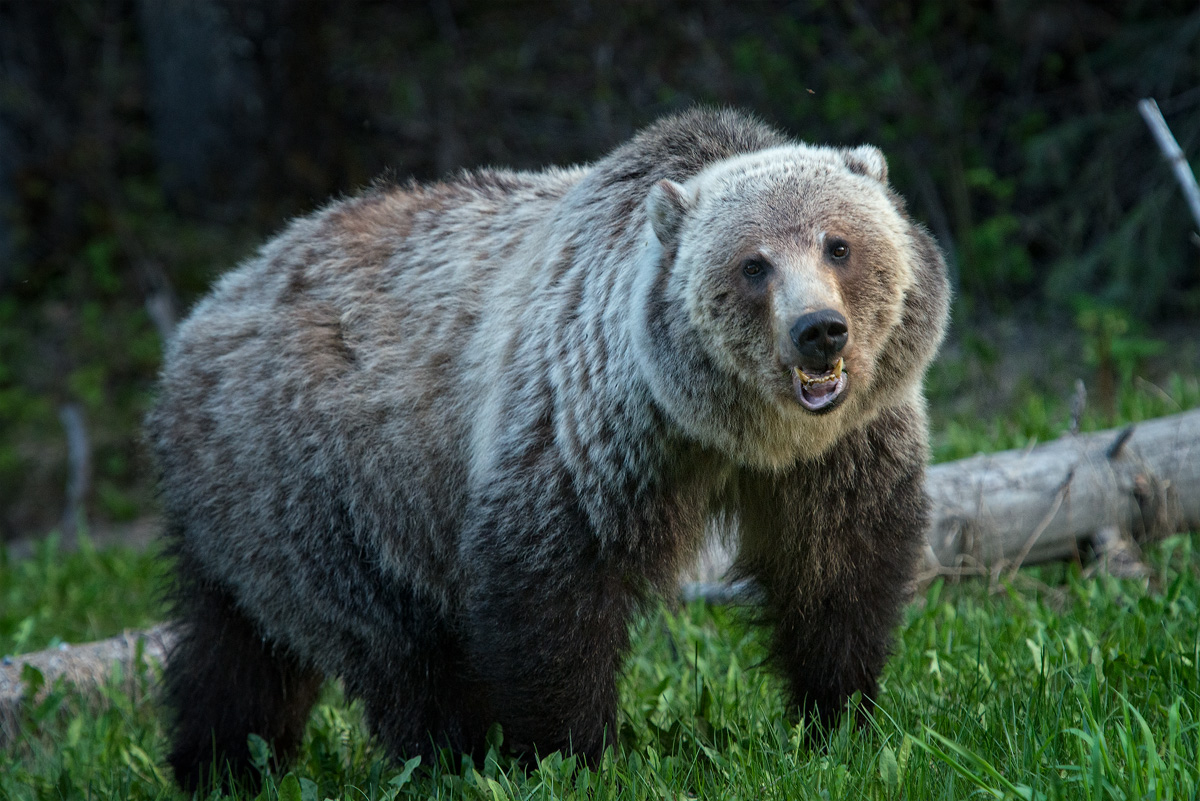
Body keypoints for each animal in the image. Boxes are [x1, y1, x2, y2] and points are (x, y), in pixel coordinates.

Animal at [146, 108, 949, 790]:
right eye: (753, 264)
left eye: (839, 244)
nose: (819, 330)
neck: (732, 431)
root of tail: (207, 309)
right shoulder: (587, 426)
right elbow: (553, 586)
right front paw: (574, 755)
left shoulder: (842, 452)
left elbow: (838, 571)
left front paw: (840, 719)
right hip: (326, 477)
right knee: (396, 641)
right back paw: (451, 755)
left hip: (246, 505)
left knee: (236, 649)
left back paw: (218, 762)